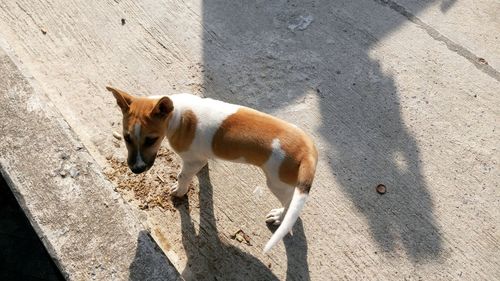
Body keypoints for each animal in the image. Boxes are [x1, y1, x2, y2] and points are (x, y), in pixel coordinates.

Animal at [107, 85, 318, 252]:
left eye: (151, 140)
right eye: (126, 138)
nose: (136, 169)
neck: (178, 116)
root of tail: (308, 150)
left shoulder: (190, 161)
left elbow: (183, 176)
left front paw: (179, 191)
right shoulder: (198, 159)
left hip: (277, 182)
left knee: (290, 202)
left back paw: (279, 216)